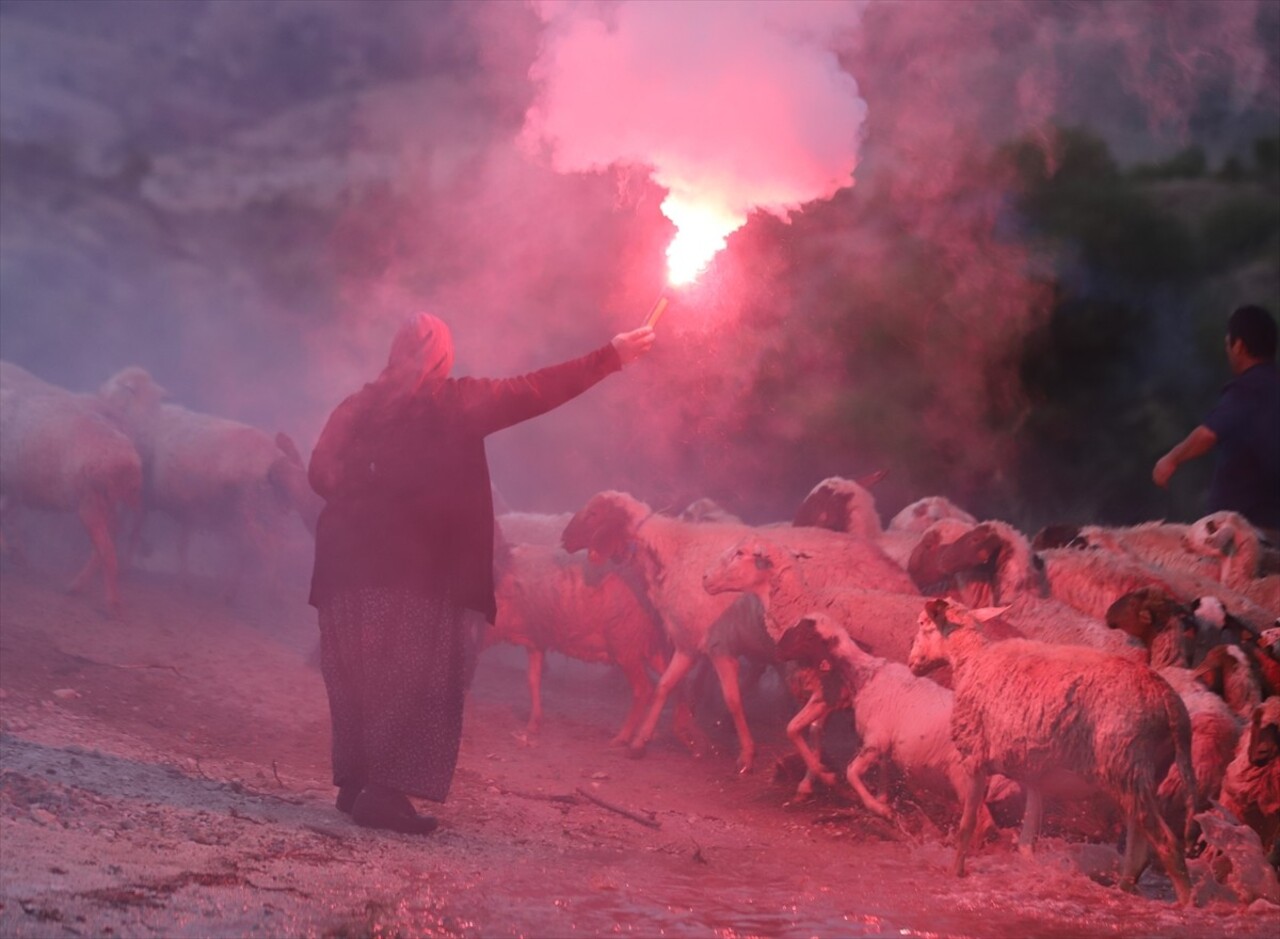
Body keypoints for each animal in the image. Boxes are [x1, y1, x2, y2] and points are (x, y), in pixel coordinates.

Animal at [0, 383, 144, 619]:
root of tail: (131, 461)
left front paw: (9, 551)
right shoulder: (14, 490)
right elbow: (7, 516)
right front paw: (14, 553)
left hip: (91, 504)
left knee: (106, 551)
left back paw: (110, 603)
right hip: (107, 503)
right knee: (105, 544)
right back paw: (76, 587)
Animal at [98, 368, 316, 588]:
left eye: (124, 385)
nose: (100, 396)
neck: (144, 416)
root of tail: (276, 458)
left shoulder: (143, 497)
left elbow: (134, 532)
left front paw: (127, 565)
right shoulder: (184, 506)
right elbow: (182, 542)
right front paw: (182, 577)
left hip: (256, 512)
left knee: (266, 550)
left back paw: (264, 589)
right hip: (265, 516)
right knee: (258, 549)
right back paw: (232, 587)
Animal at [486, 539, 670, 747]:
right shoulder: (536, 640)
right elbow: (533, 678)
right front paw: (534, 724)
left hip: (626, 646)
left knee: (644, 689)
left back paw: (623, 737)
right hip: (650, 646)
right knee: (672, 683)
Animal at [906, 598, 1192, 910]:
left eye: (922, 623)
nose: (911, 663)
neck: (973, 661)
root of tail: (1167, 697)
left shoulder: (975, 760)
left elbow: (966, 826)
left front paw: (955, 873)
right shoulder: (1034, 775)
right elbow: (1026, 844)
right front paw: (1032, 876)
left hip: (1127, 764)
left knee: (1166, 843)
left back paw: (1186, 904)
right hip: (1141, 773)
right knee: (1138, 849)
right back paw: (1124, 891)